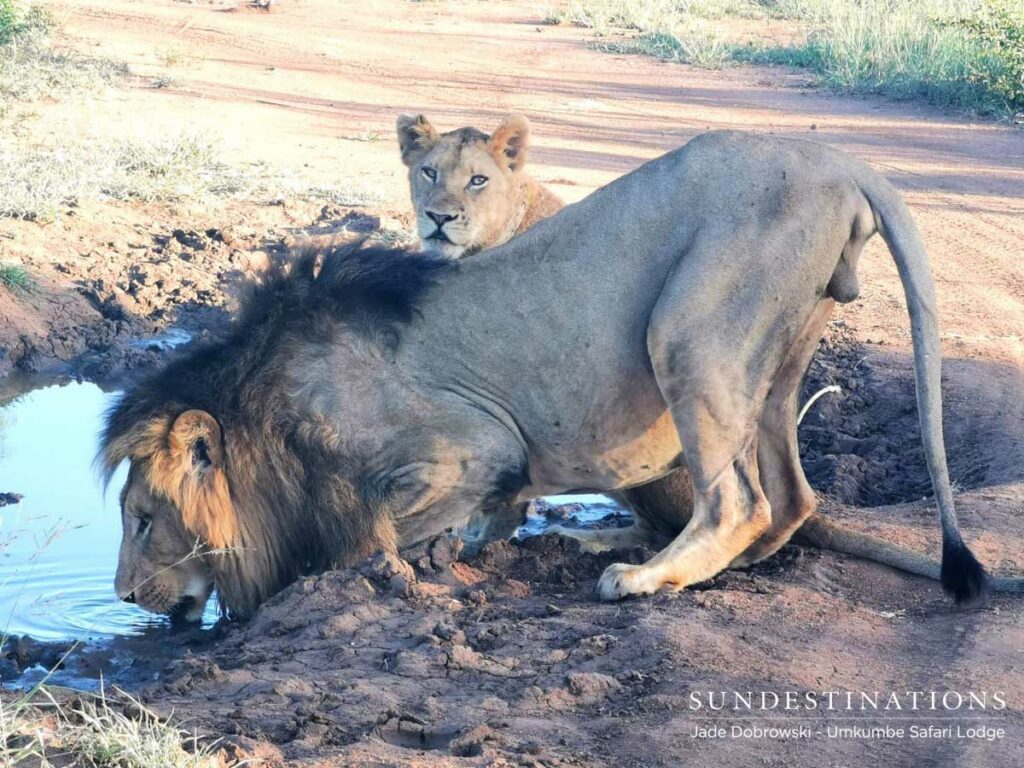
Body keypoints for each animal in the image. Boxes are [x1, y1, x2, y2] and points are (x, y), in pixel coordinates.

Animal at [101, 131, 1023, 620]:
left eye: (143, 519)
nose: (124, 595)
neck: (267, 405)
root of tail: (841, 161)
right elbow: (475, 518)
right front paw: (468, 547)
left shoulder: (473, 444)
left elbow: (367, 530)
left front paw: (397, 565)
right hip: (779, 356)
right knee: (791, 500)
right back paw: (707, 563)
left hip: (686, 332)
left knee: (740, 500)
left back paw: (647, 575)